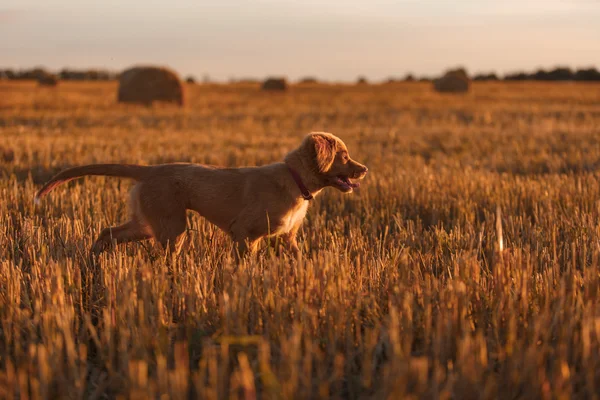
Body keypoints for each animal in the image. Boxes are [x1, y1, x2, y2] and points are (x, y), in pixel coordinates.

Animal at [36, 132, 370, 260]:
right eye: (343, 156)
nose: (365, 169)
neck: (294, 179)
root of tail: (150, 170)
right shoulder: (244, 233)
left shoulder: (288, 238)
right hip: (172, 226)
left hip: (147, 223)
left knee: (108, 231)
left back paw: (93, 260)